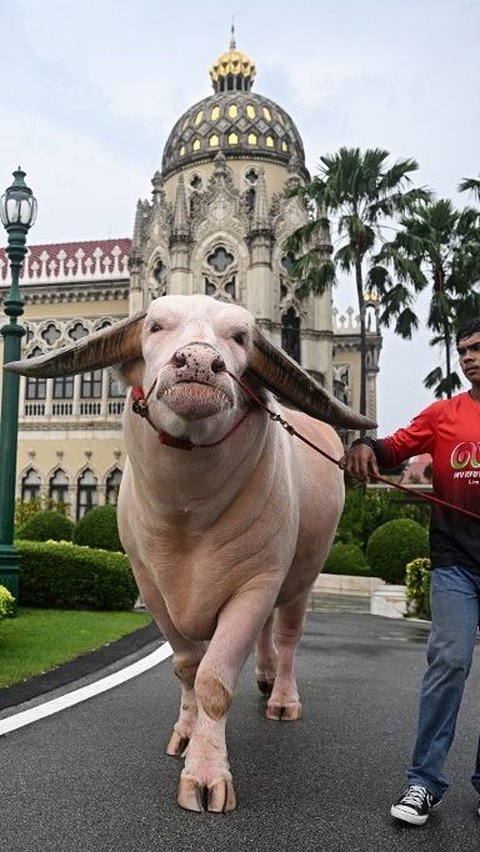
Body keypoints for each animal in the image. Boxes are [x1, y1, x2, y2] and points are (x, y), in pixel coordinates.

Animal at [7, 296, 376, 816]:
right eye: (155, 326)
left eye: (241, 337)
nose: (199, 362)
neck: (189, 513)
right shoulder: (150, 587)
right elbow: (186, 669)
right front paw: (184, 735)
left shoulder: (255, 584)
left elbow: (214, 682)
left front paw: (205, 775)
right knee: (266, 638)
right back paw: (264, 678)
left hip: (302, 576)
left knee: (287, 637)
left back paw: (282, 697)